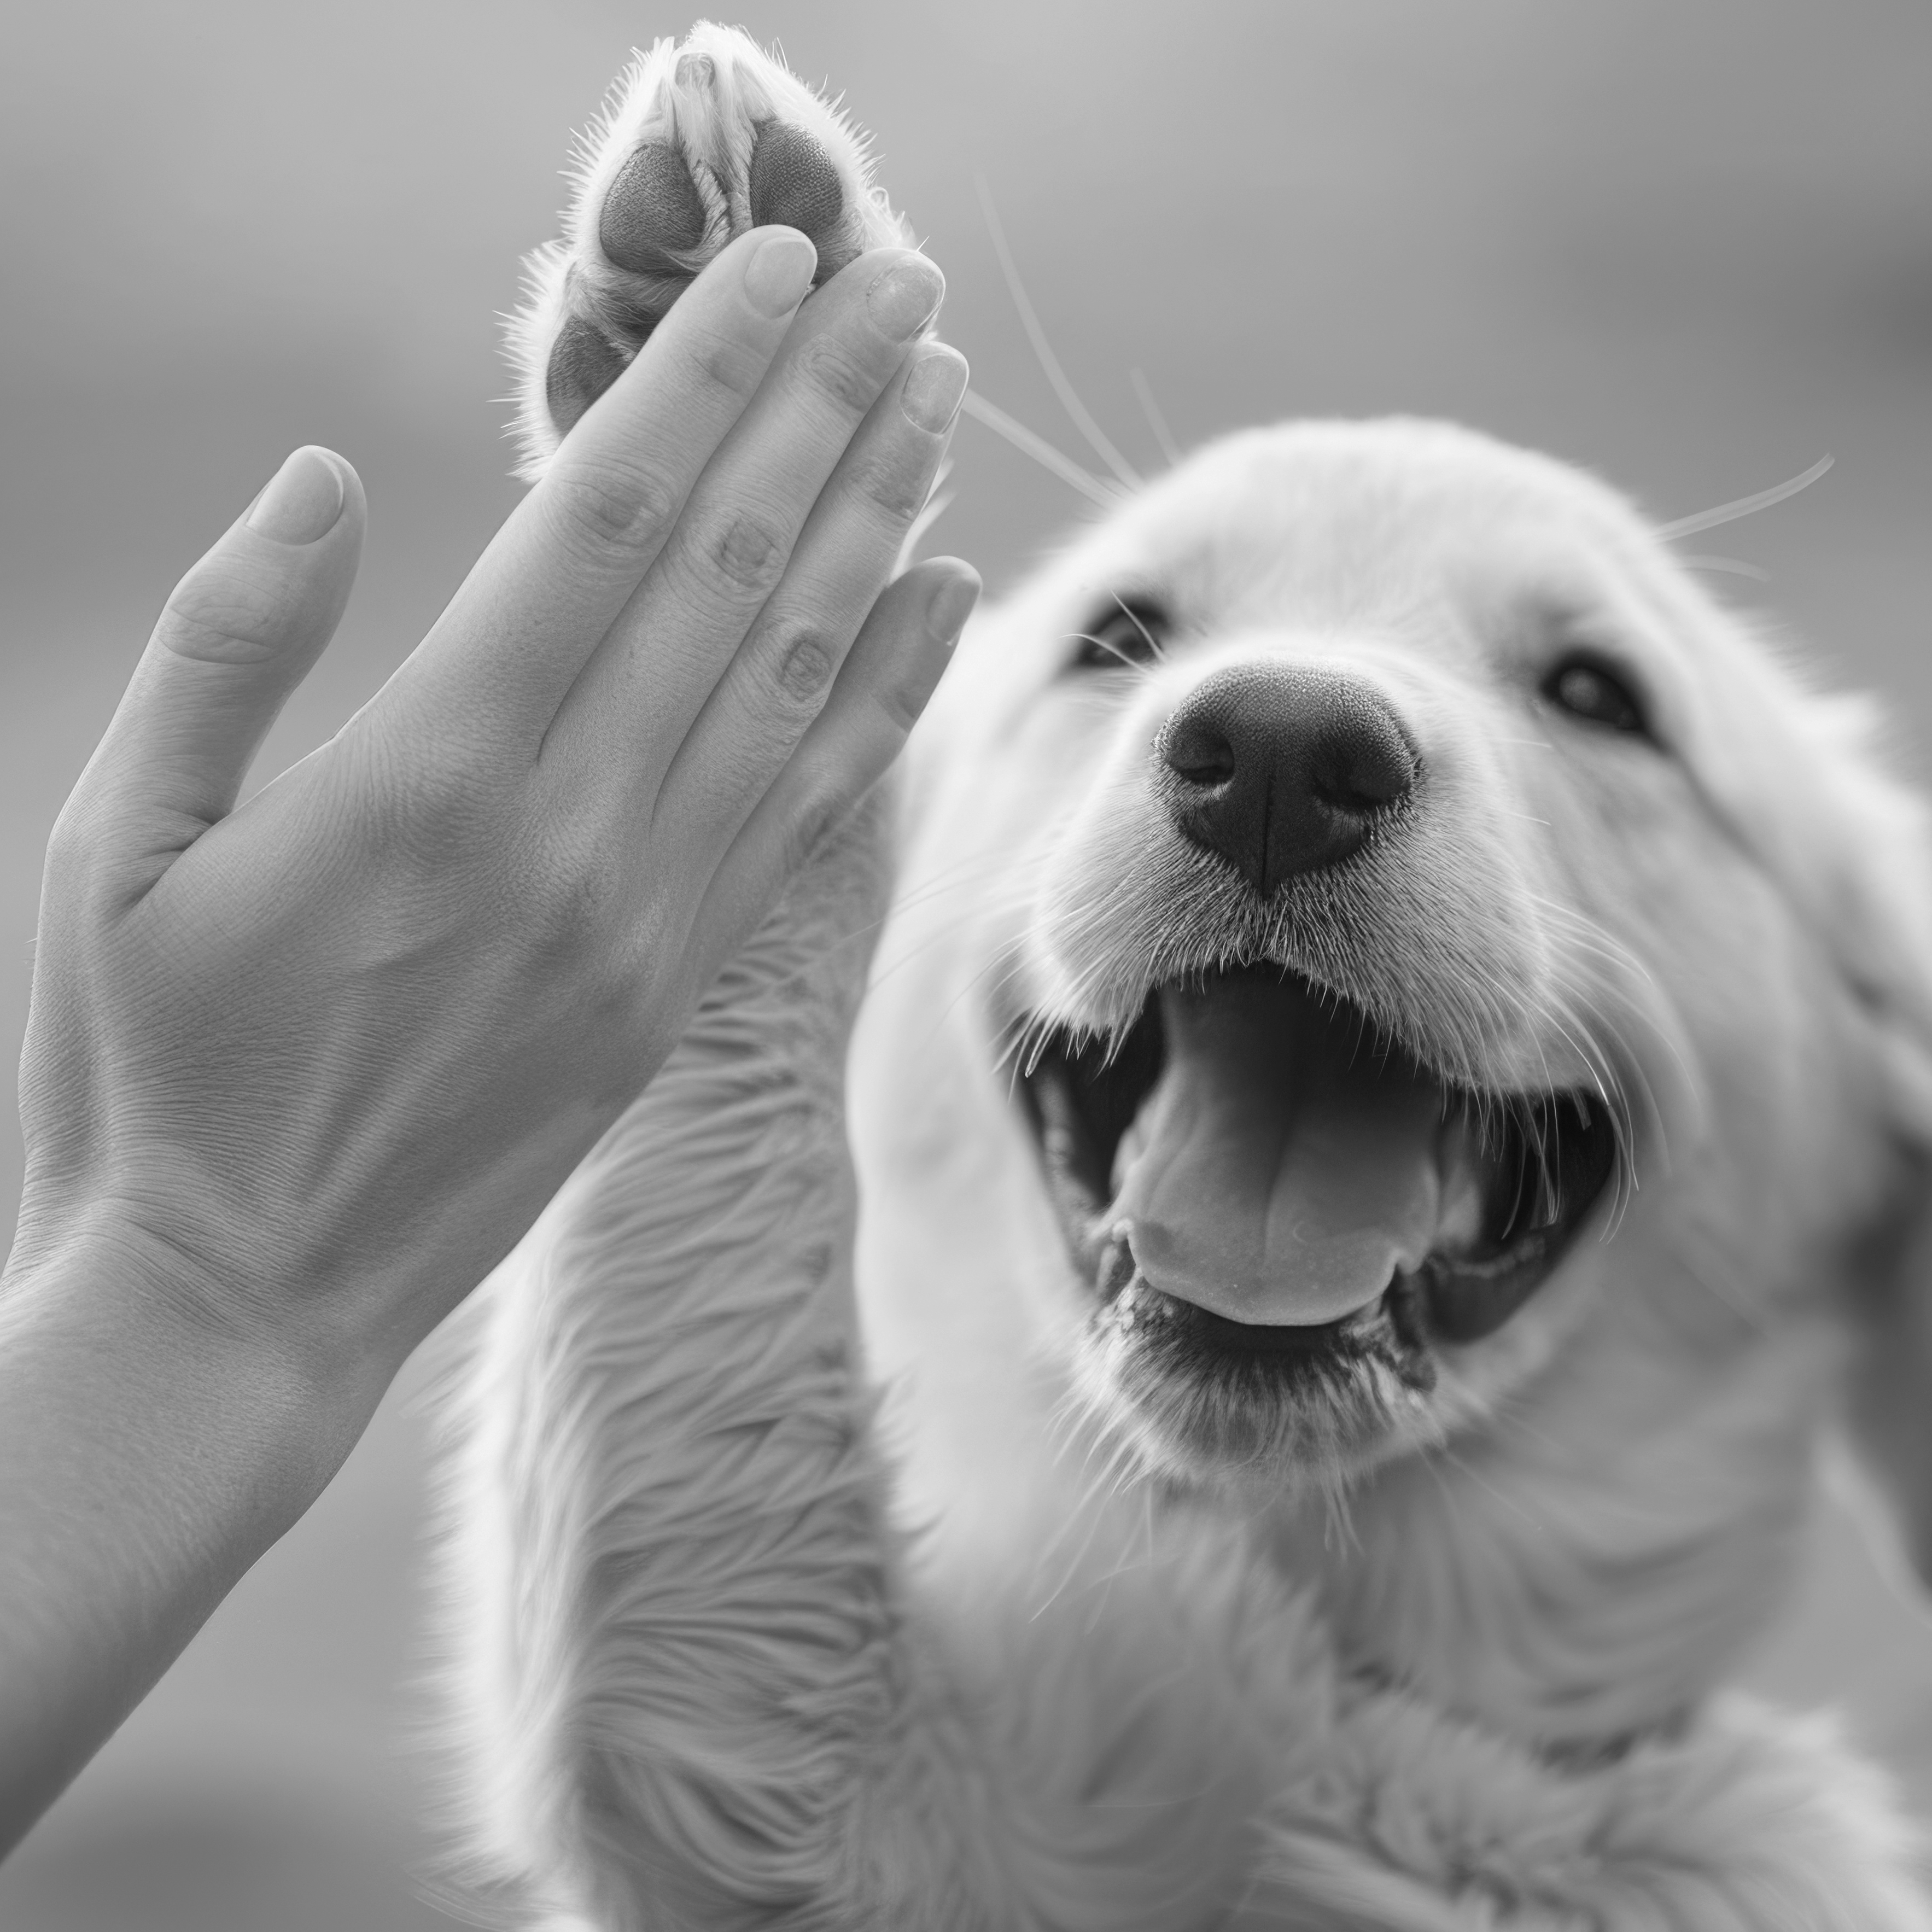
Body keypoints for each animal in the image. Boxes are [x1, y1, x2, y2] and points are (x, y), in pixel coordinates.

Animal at [430, 19, 1932, 1932]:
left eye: (1600, 696)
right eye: (1122, 638)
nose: (1283, 752)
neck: (1334, 1657)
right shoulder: (850, 1819)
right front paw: (729, 305)